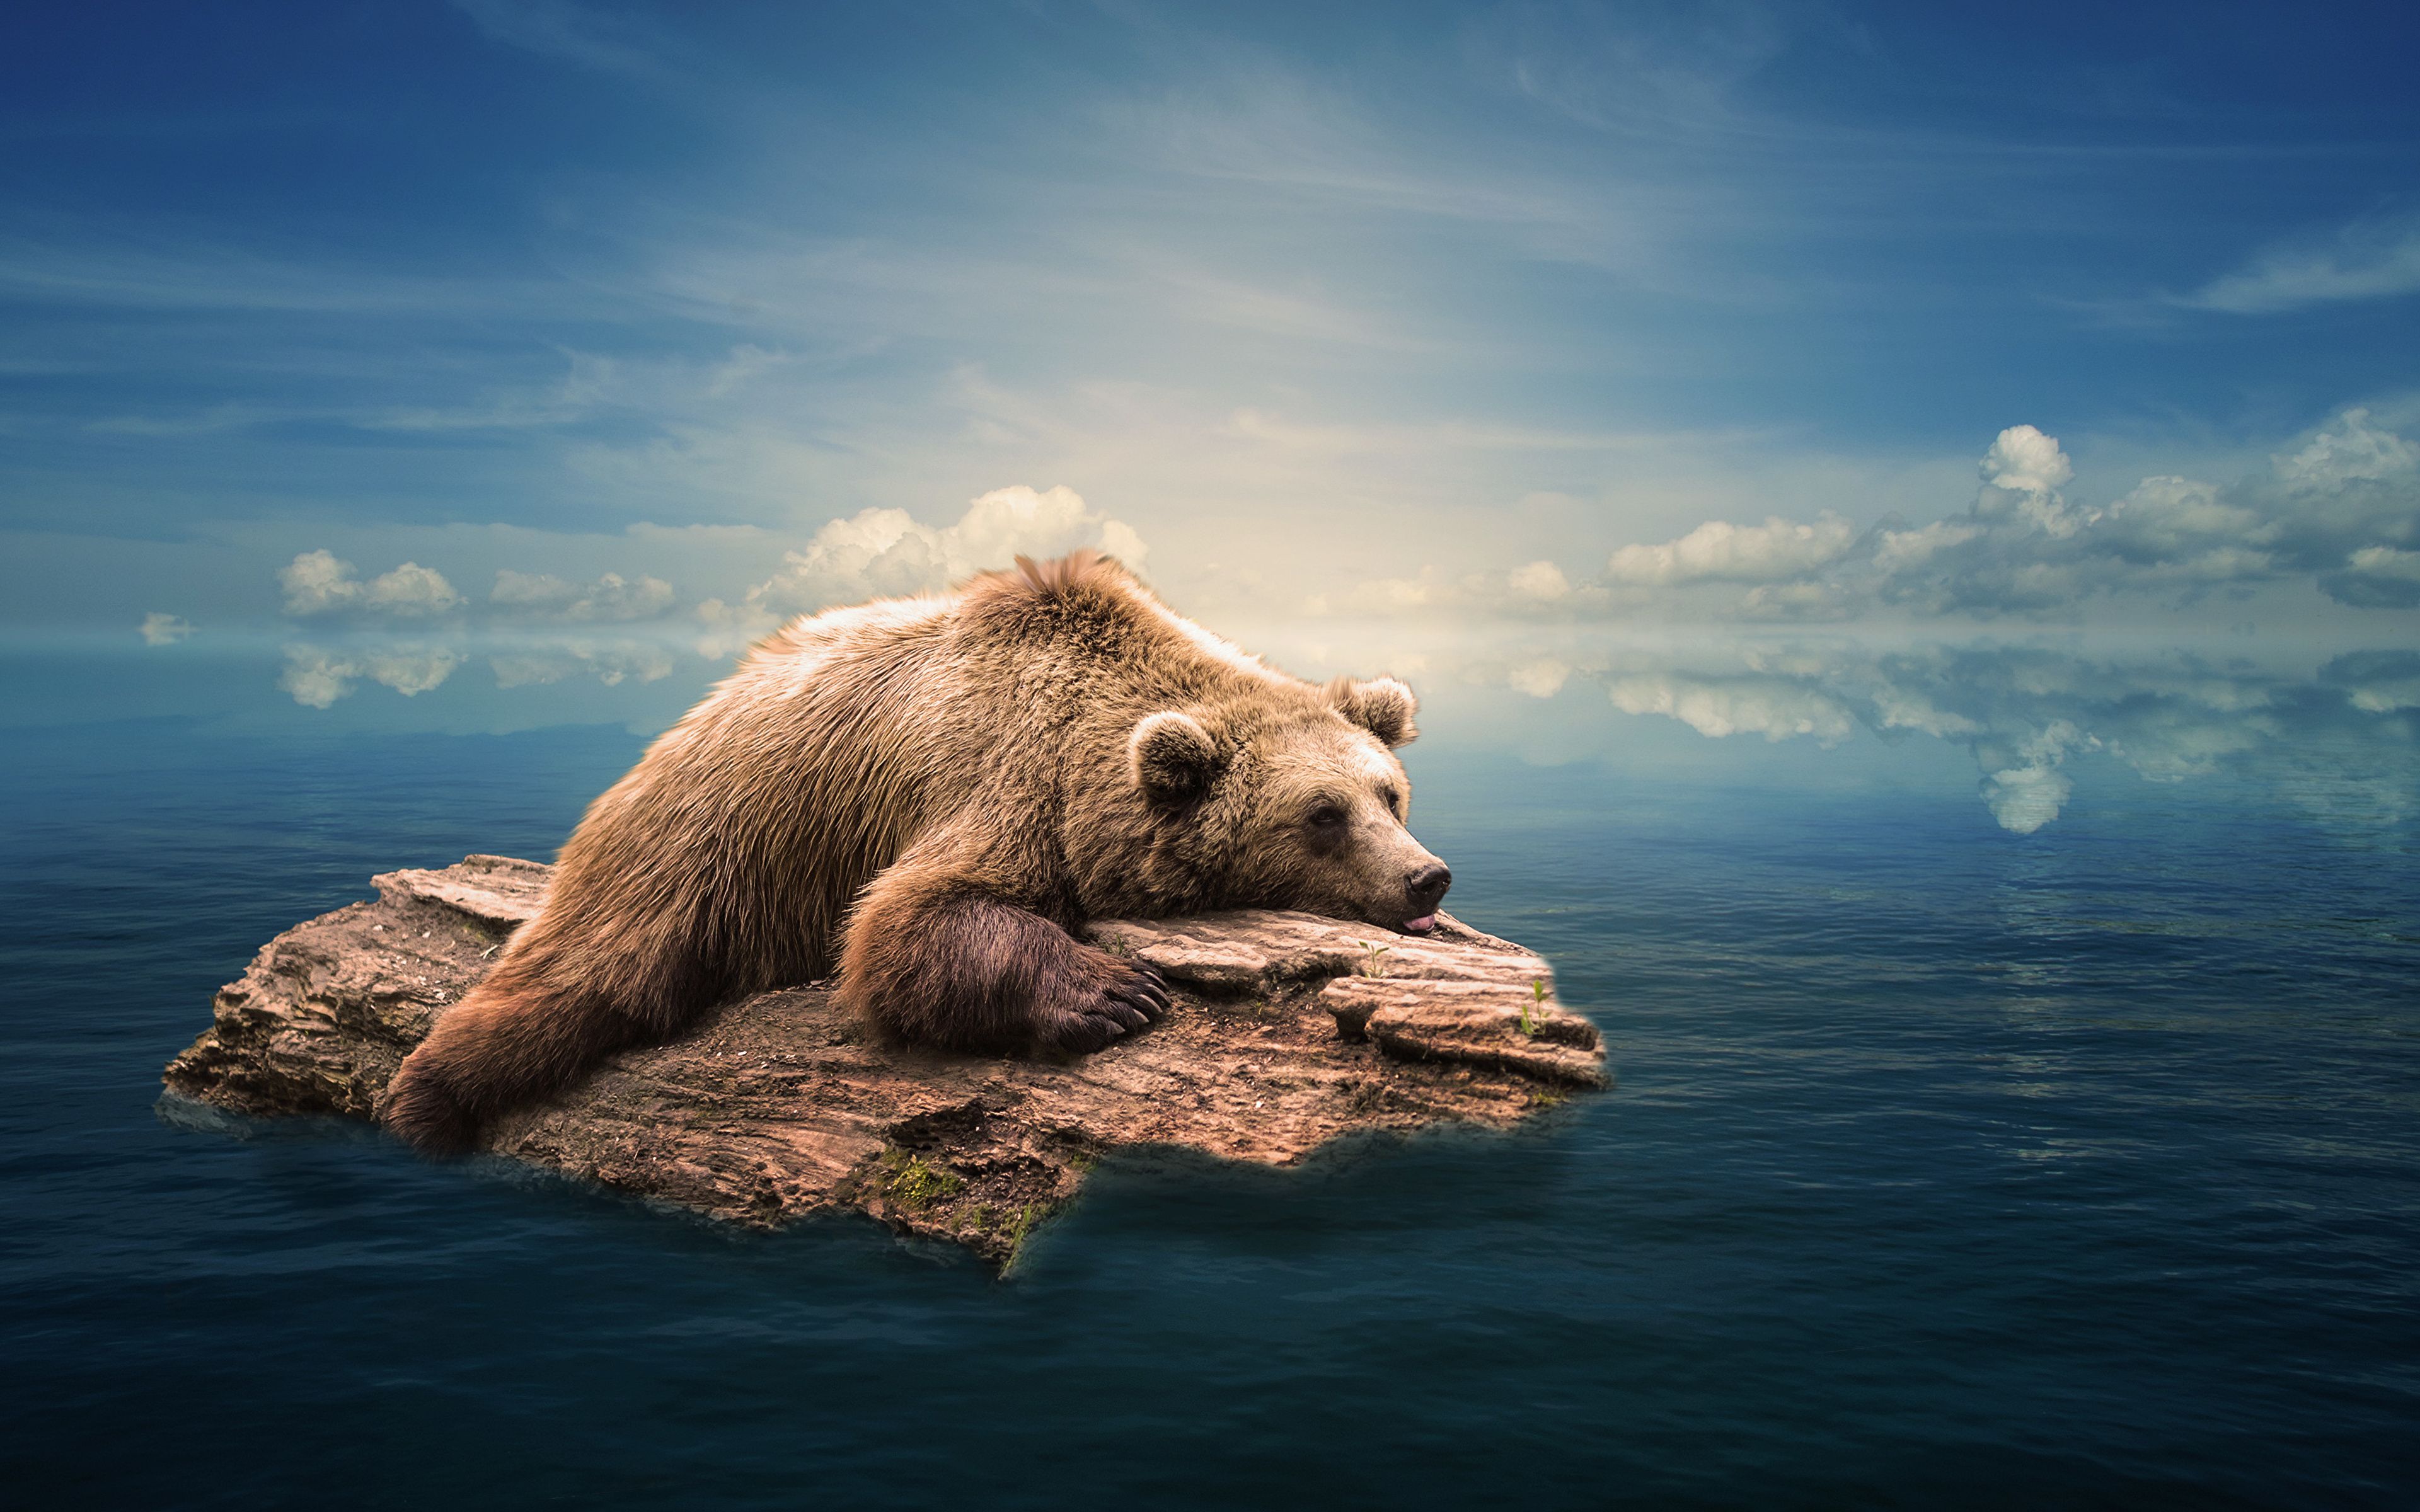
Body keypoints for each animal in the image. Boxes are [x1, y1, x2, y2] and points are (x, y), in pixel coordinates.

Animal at [379, 550, 1451, 1155]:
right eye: (1321, 815)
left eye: (1389, 793)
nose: (1425, 876)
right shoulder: (1001, 777)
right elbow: (907, 921)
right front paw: (1112, 992)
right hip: (703, 843)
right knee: (588, 974)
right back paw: (429, 1094)